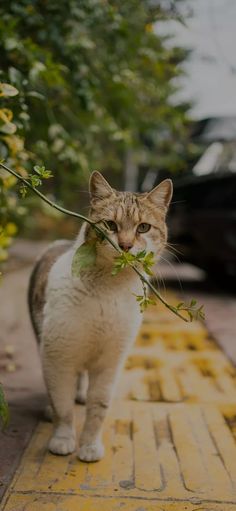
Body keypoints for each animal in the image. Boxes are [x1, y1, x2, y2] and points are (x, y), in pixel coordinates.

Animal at [28, 172, 171, 464]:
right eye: (110, 225)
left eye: (143, 228)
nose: (126, 245)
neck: (108, 288)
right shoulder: (57, 355)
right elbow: (62, 404)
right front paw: (63, 439)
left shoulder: (110, 361)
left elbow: (98, 407)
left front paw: (90, 445)